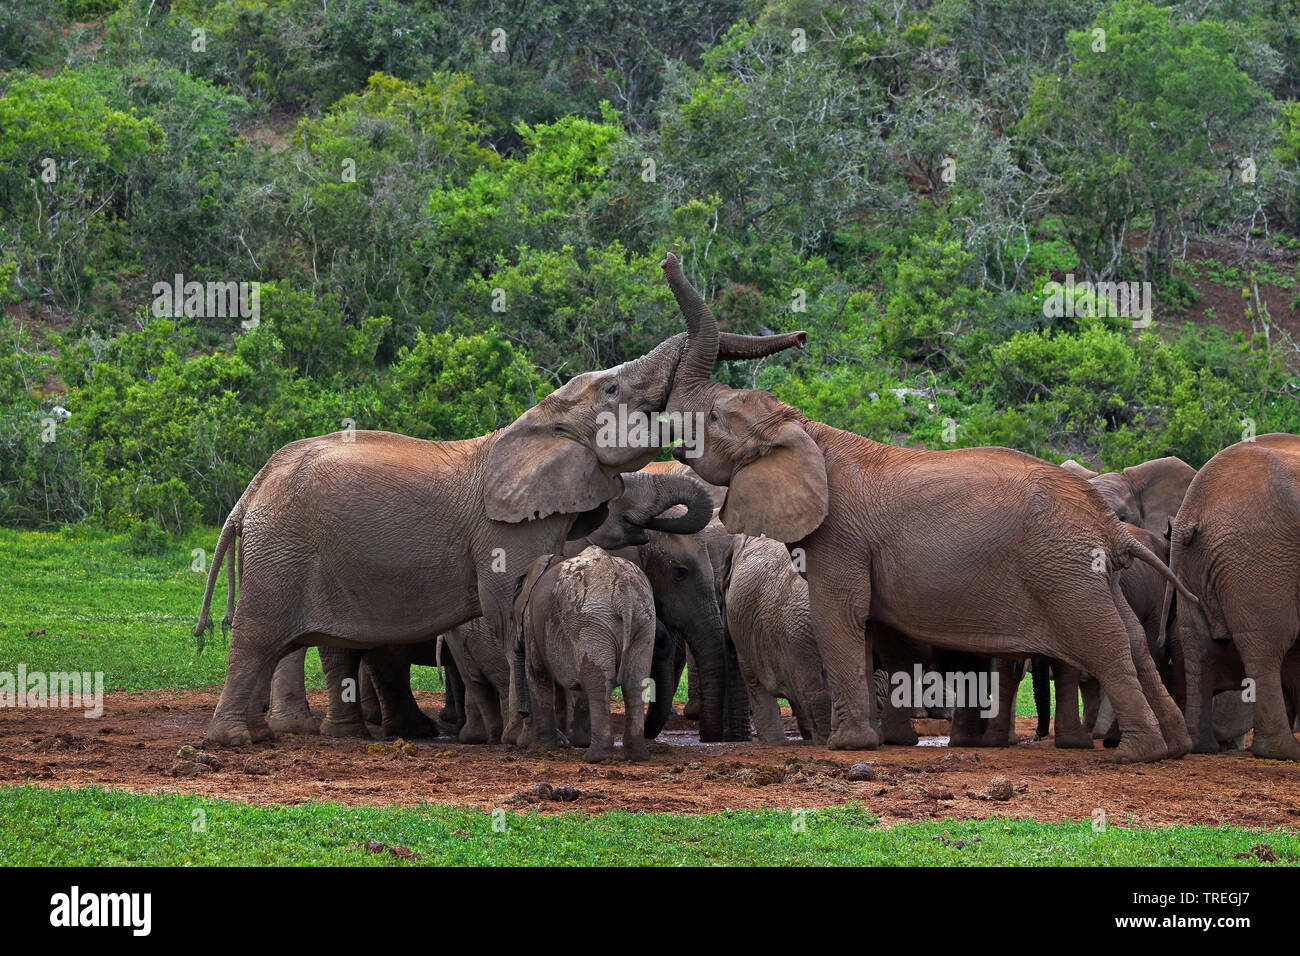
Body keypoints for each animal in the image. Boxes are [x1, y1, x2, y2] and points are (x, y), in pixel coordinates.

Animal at [514, 546, 655, 764]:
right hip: (643, 619)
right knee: (634, 683)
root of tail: (623, 591)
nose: (522, 713)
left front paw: (541, 749)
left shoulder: (531, 621)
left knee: (599, 684)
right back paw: (638, 756)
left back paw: (595, 757)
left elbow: (537, 672)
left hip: (589, 622)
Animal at [1164, 434, 1300, 764]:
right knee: (1268, 642)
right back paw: (1282, 752)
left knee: (1198, 643)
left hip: (1192, 563)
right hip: (1259, 554)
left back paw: (1202, 746)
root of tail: (1195, 509)